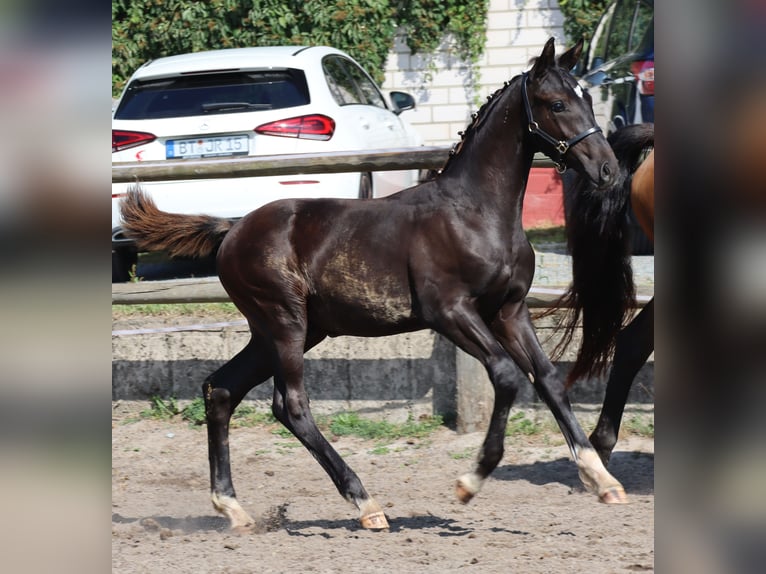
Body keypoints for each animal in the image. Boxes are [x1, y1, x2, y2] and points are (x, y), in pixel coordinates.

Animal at [121, 41, 632, 536]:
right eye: (557, 103)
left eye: (589, 98)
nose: (609, 170)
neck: (475, 212)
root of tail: (231, 230)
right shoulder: (450, 312)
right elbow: (507, 376)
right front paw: (469, 482)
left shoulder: (509, 310)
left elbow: (548, 379)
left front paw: (602, 479)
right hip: (285, 322)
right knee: (291, 406)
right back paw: (366, 504)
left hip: (291, 330)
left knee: (222, 389)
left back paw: (233, 508)